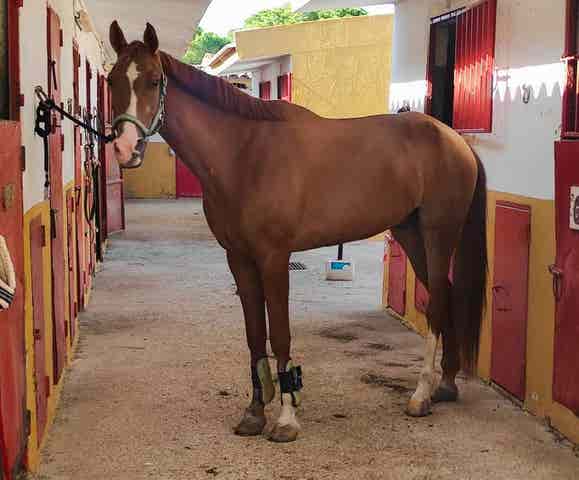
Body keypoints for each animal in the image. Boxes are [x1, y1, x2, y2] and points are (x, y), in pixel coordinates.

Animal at [107, 22, 488, 443]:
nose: (125, 148)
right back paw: (445, 385)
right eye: (111, 81)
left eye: (155, 80)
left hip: (438, 234)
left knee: (436, 302)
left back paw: (421, 395)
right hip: (410, 233)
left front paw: (287, 418)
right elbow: (255, 335)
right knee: (446, 295)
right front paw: (255, 412)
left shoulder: (274, 259)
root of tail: (454, 140)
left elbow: (280, 334)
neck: (244, 155)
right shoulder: (239, 259)